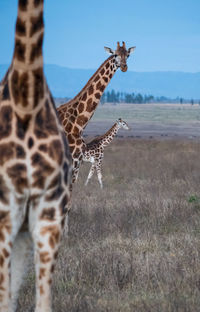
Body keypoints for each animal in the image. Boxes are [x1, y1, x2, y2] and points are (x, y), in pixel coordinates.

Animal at [57, 41, 136, 185]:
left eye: (128, 55)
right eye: (115, 54)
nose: (124, 67)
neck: (78, 123)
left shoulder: (77, 162)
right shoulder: (73, 161)